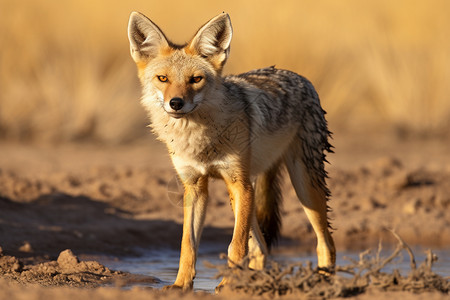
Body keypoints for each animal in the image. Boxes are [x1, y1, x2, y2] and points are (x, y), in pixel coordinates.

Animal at [126, 11, 334, 290]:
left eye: (196, 79)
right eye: (163, 79)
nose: (176, 103)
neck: (199, 139)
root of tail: (300, 78)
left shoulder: (239, 185)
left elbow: (235, 246)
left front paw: (227, 285)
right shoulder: (195, 187)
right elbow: (188, 244)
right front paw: (181, 285)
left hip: (303, 188)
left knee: (325, 243)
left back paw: (324, 283)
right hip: (247, 194)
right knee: (262, 248)